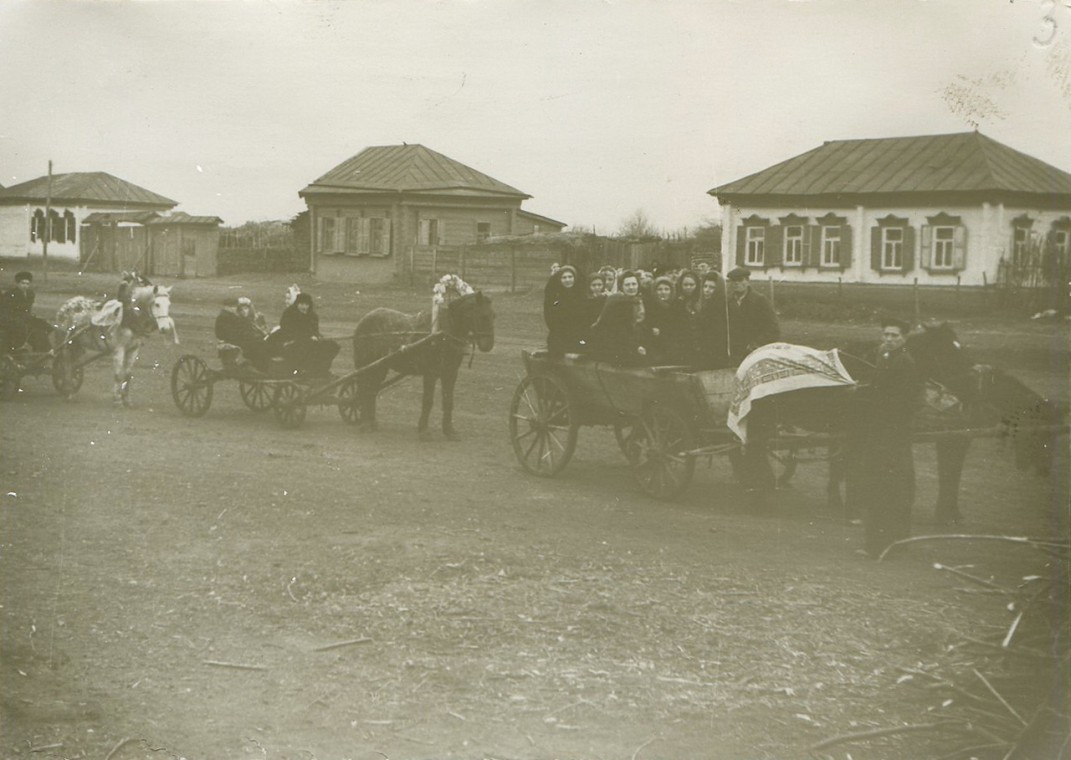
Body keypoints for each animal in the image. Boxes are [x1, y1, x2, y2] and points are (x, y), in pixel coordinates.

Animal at [355, 291, 496, 441]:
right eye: (483, 316)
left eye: (494, 315)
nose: (488, 345)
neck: (444, 333)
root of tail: (364, 320)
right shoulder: (430, 374)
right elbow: (428, 401)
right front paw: (423, 431)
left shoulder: (450, 374)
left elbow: (448, 401)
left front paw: (449, 431)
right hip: (365, 365)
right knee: (363, 390)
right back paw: (364, 424)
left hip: (379, 368)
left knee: (371, 391)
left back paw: (372, 422)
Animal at [741, 325, 1058, 526]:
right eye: (948, 352)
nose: (1044, 471)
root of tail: (750, 360)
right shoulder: (942, 439)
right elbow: (945, 476)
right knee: (756, 453)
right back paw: (761, 493)